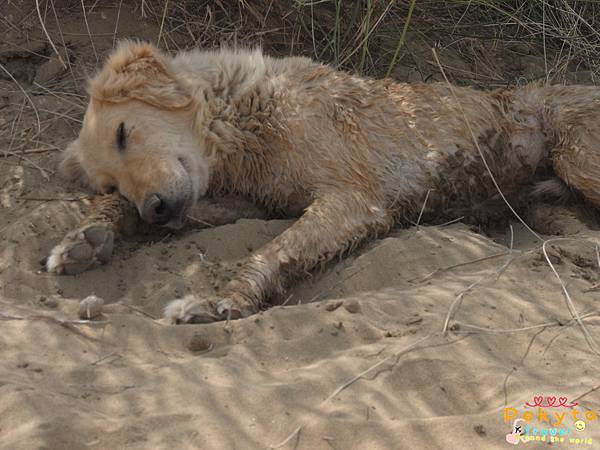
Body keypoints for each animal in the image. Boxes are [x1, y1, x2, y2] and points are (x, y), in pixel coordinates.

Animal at [47, 41, 600, 324]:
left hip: (576, 153)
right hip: (542, 201)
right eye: (111, 184)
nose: (156, 209)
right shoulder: (243, 201)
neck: (241, 116)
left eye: (123, 133)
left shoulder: (352, 199)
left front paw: (221, 301)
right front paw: (85, 238)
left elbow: (272, 252)